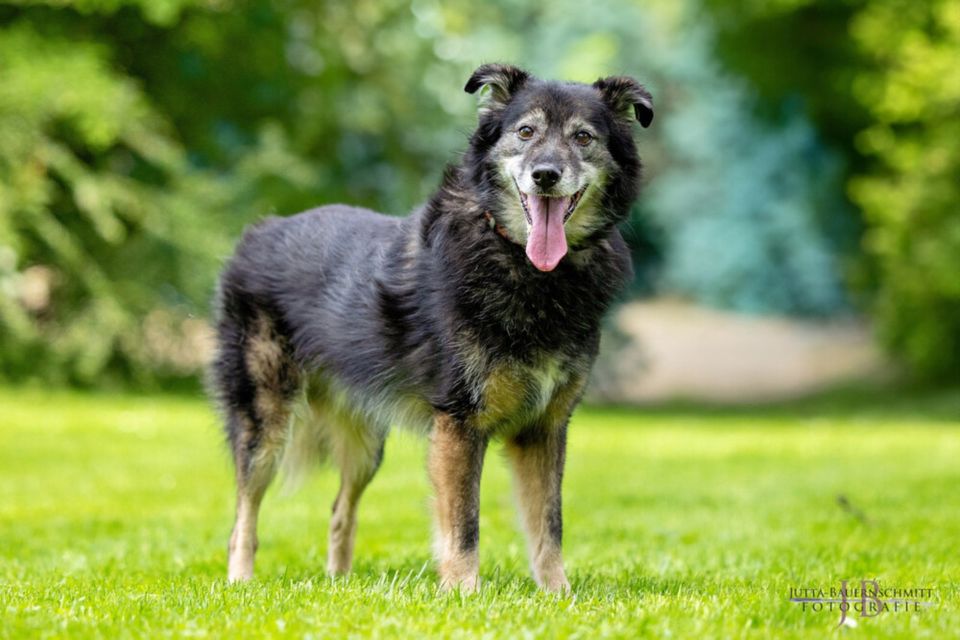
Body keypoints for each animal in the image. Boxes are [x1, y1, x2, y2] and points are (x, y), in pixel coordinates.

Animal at [206, 62, 648, 592]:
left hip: (365, 445)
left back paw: (339, 585)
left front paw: (557, 594)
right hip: (264, 422)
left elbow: (548, 523)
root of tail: (259, 232)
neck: (525, 265)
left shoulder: (544, 427)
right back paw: (241, 582)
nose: (545, 176)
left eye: (583, 137)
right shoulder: (458, 422)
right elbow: (464, 522)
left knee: (340, 512)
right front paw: (462, 592)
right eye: (526, 132)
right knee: (243, 518)